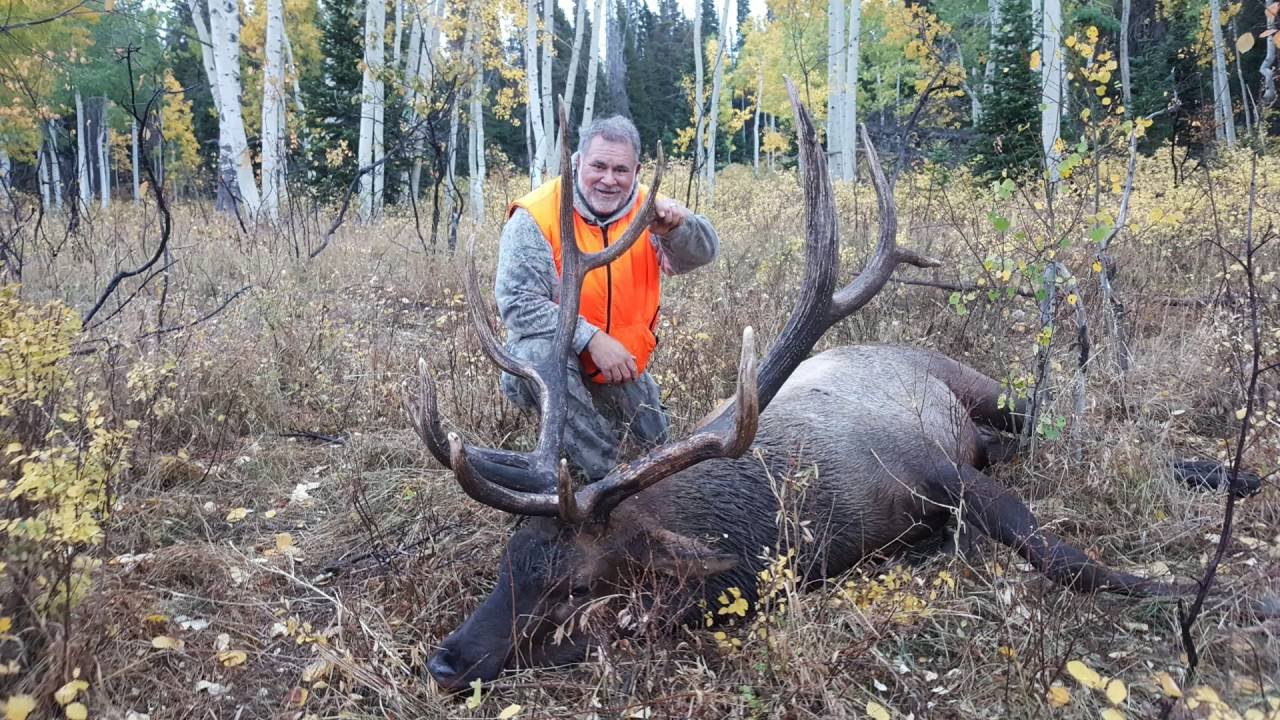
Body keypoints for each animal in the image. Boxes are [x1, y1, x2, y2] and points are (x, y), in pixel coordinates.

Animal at [409, 87, 1202, 691]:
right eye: (507, 558)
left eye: (576, 584)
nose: (446, 661)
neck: (797, 521)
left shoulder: (939, 469)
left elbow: (1063, 556)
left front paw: (1192, 589)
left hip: (977, 385)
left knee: (1046, 422)